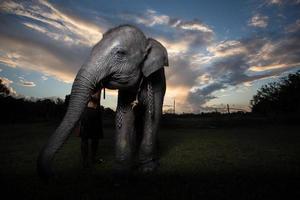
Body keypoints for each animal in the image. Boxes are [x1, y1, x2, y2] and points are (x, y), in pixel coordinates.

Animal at [37, 24, 169, 179]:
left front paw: (148, 169)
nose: (53, 174)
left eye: (120, 53)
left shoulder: (157, 82)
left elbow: (152, 118)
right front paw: (121, 171)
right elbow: (125, 117)